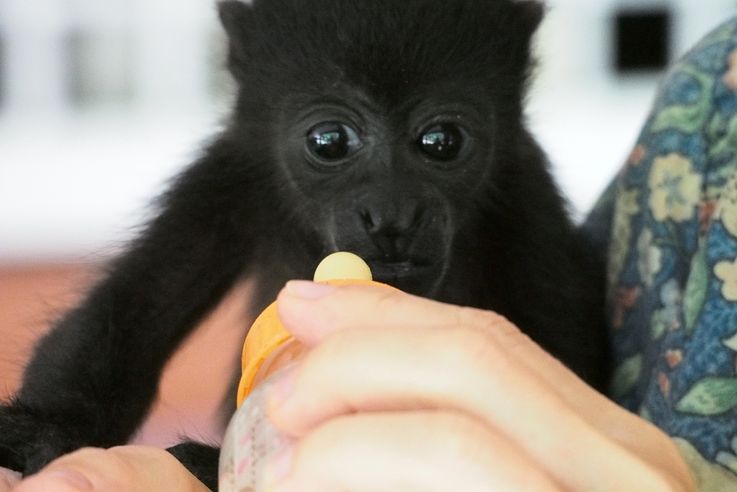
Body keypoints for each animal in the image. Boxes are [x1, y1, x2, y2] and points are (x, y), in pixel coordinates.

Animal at [0, 0, 609, 489]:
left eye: (442, 141)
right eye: (329, 141)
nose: (392, 214)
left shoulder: (527, 193)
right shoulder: (229, 173)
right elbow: (134, 307)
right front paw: (47, 430)